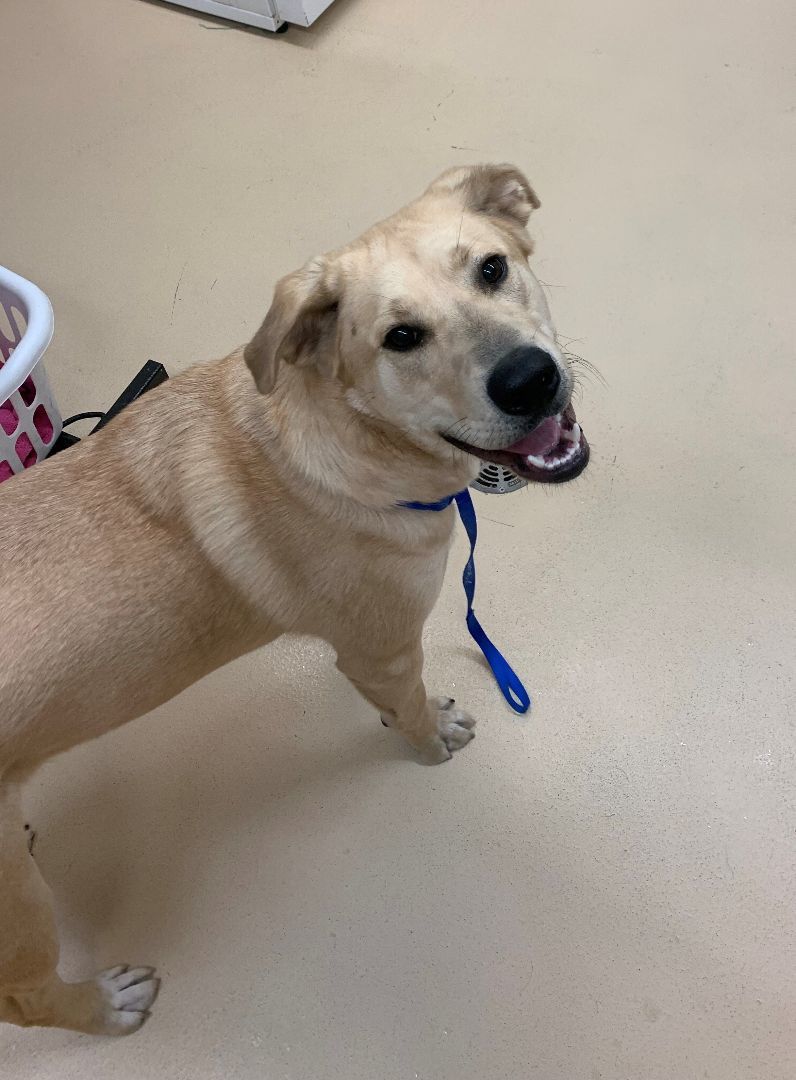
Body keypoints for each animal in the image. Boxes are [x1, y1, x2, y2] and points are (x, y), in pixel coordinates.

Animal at [0, 164, 583, 1032]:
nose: (529, 379)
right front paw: (432, 737)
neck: (352, 440)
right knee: (27, 1001)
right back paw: (107, 1007)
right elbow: (411, 709)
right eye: (400, 338)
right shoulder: (381, 651)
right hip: (22, 921)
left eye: (491, 268)